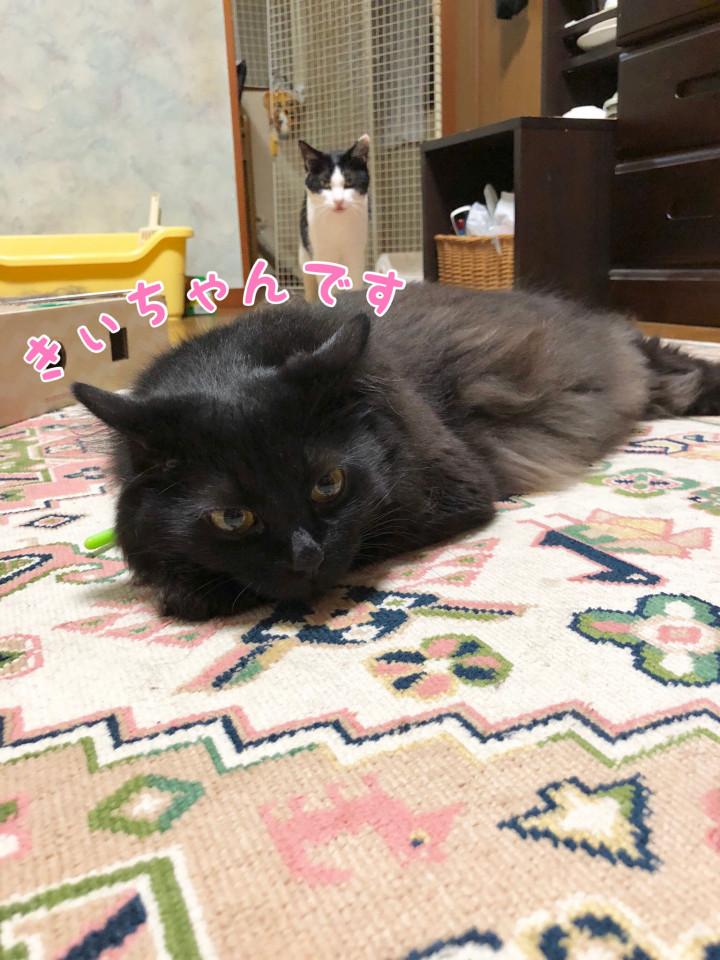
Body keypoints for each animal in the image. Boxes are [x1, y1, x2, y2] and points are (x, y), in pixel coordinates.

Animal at [298, 135, 370, 301]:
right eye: (324, 183)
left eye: (349, 181)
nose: (338, 201)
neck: (338, 225)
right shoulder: (321, 253)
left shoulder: (355, 253)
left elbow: (355, 281)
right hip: (304, 252)